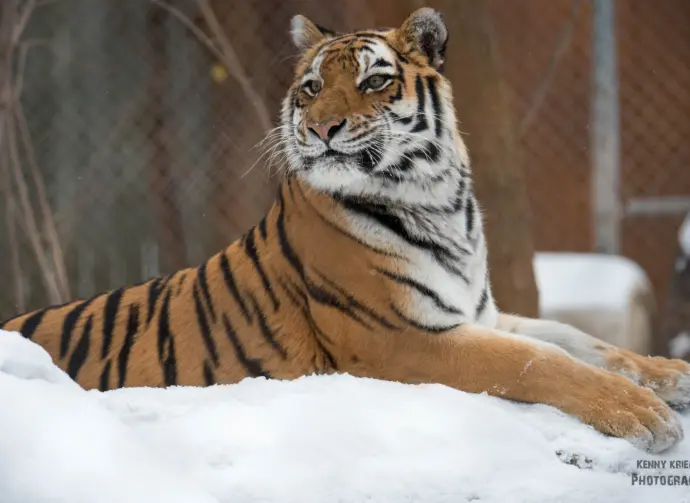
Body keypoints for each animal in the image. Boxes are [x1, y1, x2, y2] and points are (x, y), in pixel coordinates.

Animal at [2, 8, 689, 454]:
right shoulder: (399, 338)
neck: (439, 199)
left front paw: (669, 374)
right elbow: (537, 361)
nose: (320, 128)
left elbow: (579, 340)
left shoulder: (478, 311)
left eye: (374, 80)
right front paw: (640, 413)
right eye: (310, 88)